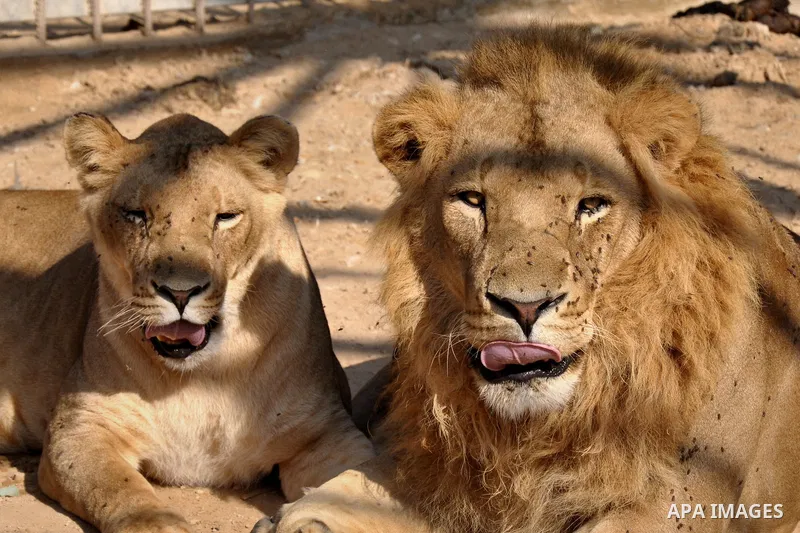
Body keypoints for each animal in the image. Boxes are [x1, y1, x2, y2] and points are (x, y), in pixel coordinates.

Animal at [0, 113, 375, 533]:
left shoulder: (324, 432)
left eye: (225, 217)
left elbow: (362, 484)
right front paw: (159, 523)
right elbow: (123, 491)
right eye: (136, 215)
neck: (205, 376)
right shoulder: (82, 427)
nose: (180, 292)